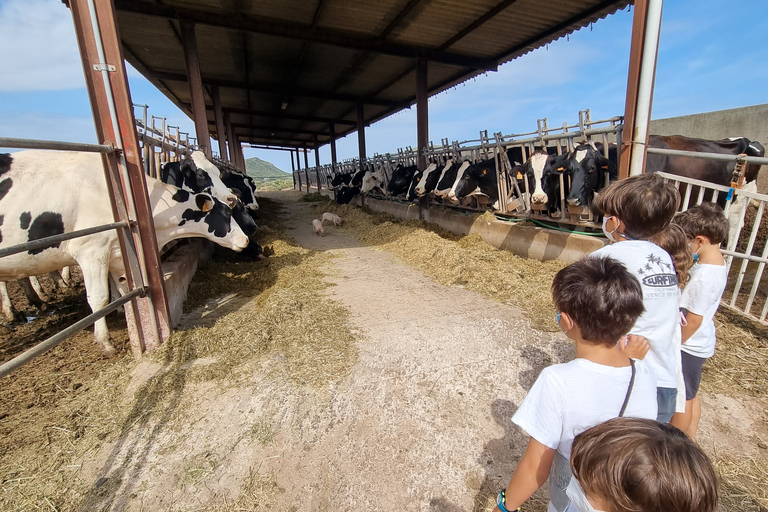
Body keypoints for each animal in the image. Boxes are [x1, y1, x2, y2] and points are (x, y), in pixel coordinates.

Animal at [0, 150, 248, 354]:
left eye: (218, 171)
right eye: (200, 174)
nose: (245, 240)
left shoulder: (118, 256)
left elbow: (124, 291)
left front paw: (132, 321)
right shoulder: (91, 250)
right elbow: (98, 297)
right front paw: (106, 342)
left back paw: (33, 304)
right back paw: (17, 312)